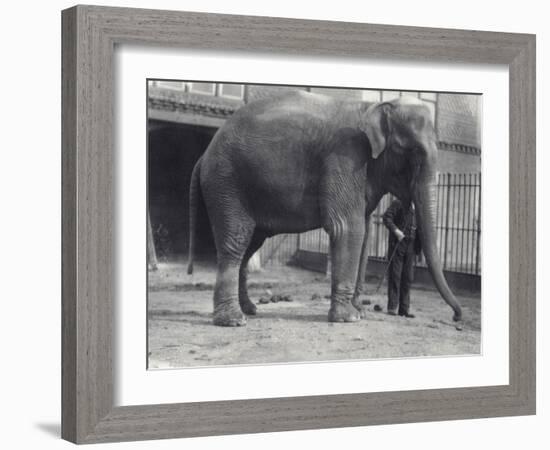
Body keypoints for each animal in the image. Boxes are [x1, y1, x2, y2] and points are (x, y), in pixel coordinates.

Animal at [188, 89, 464, 326]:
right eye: (414, 152)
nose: (457, 317)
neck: (372, 107)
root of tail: (204, 155)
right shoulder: (346, 155)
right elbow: (347, 228)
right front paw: (349, 318)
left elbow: (365, 234)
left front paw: (360, 312)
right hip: (227, 182)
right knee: (236, 240)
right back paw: (233, 320)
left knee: (250, 245)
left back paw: (250, 310)